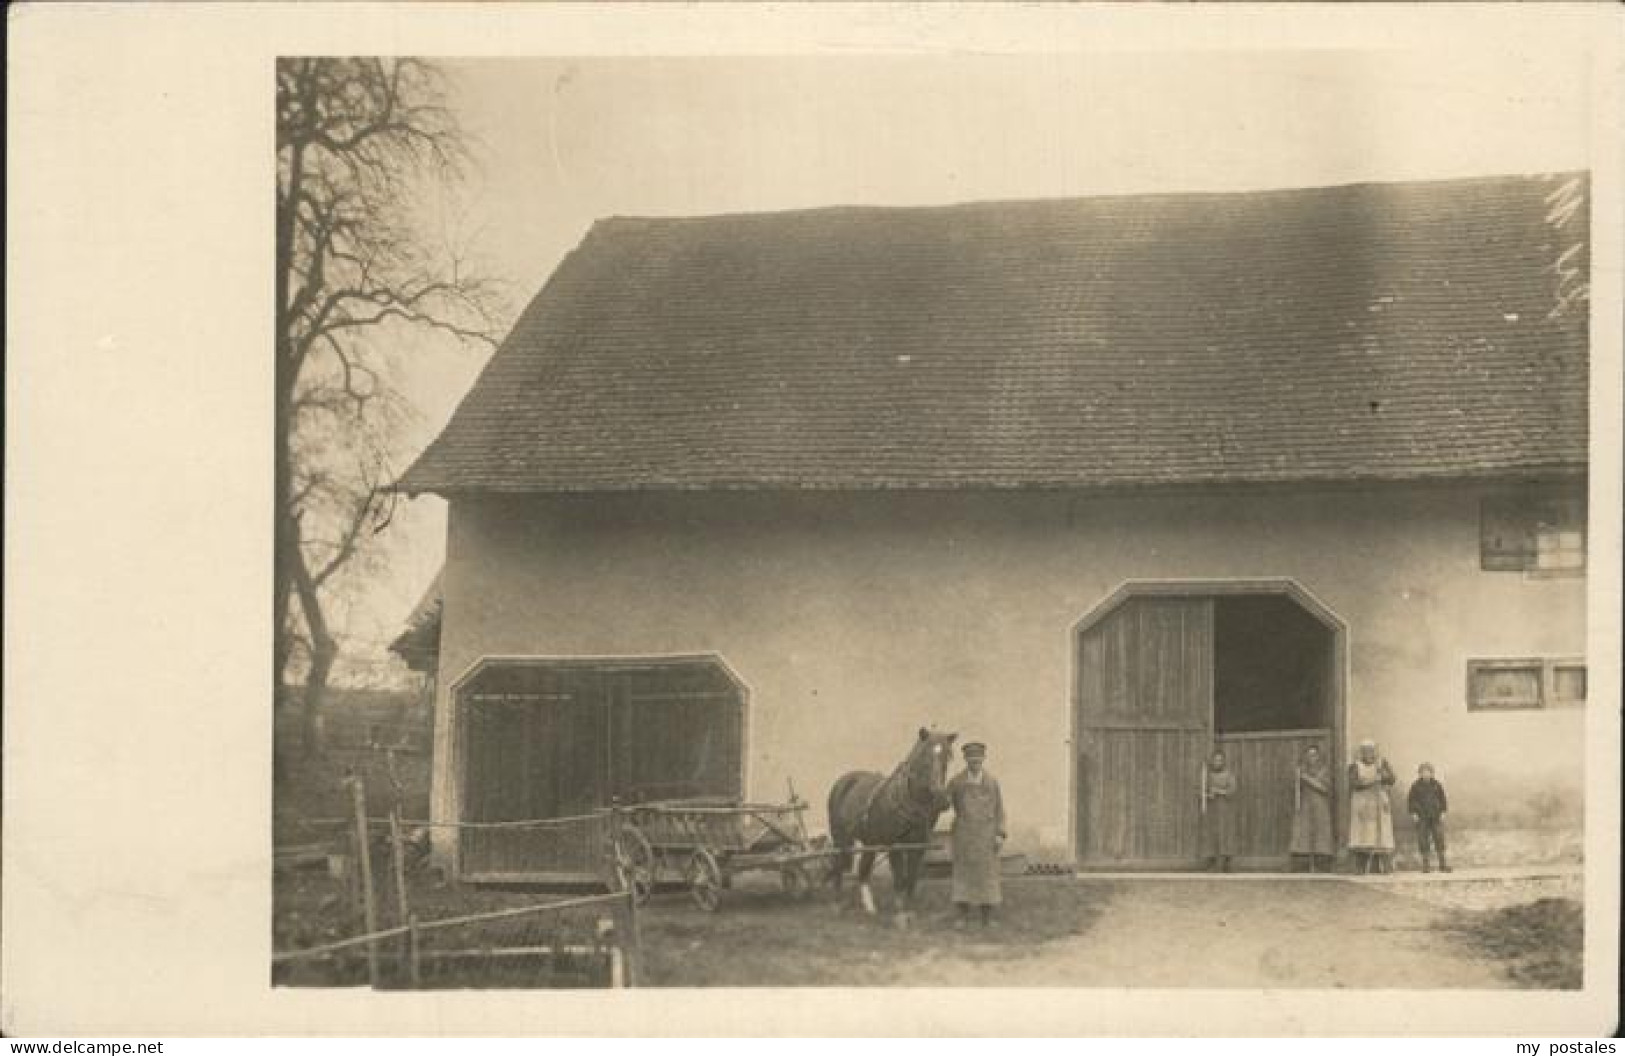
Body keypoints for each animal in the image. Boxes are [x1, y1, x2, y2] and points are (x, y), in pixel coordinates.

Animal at [825, 724, 949, 909]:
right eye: (924, 757)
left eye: (948, 757)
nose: (941, 798)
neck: (909, 801)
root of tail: (844, 780)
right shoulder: (894, 845)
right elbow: (899, 878)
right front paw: (900, 910)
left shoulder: (918, 846)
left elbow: (911, 879)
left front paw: (911, 907)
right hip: (840, 837)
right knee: (838, 864)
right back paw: (837, 901)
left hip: (869, 840)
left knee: (863, 869)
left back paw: (869, 908)